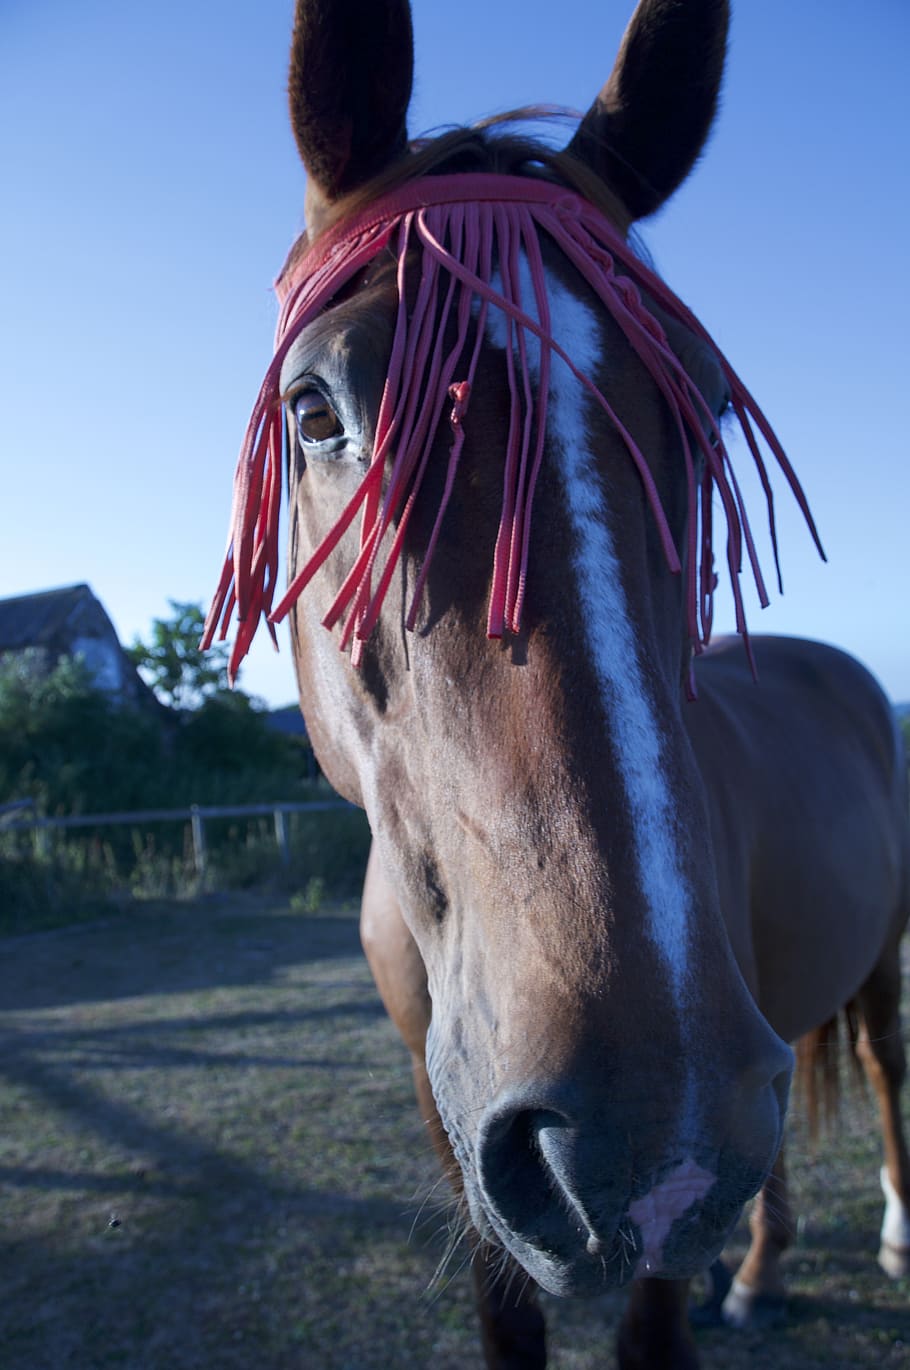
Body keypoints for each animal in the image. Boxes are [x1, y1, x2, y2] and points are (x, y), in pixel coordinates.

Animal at [203, 1, 910, 1365]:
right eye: (314, 407)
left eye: (705, 415)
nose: (645, 1133)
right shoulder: (459, 1123)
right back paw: (760, 1264)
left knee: (885, 1070)